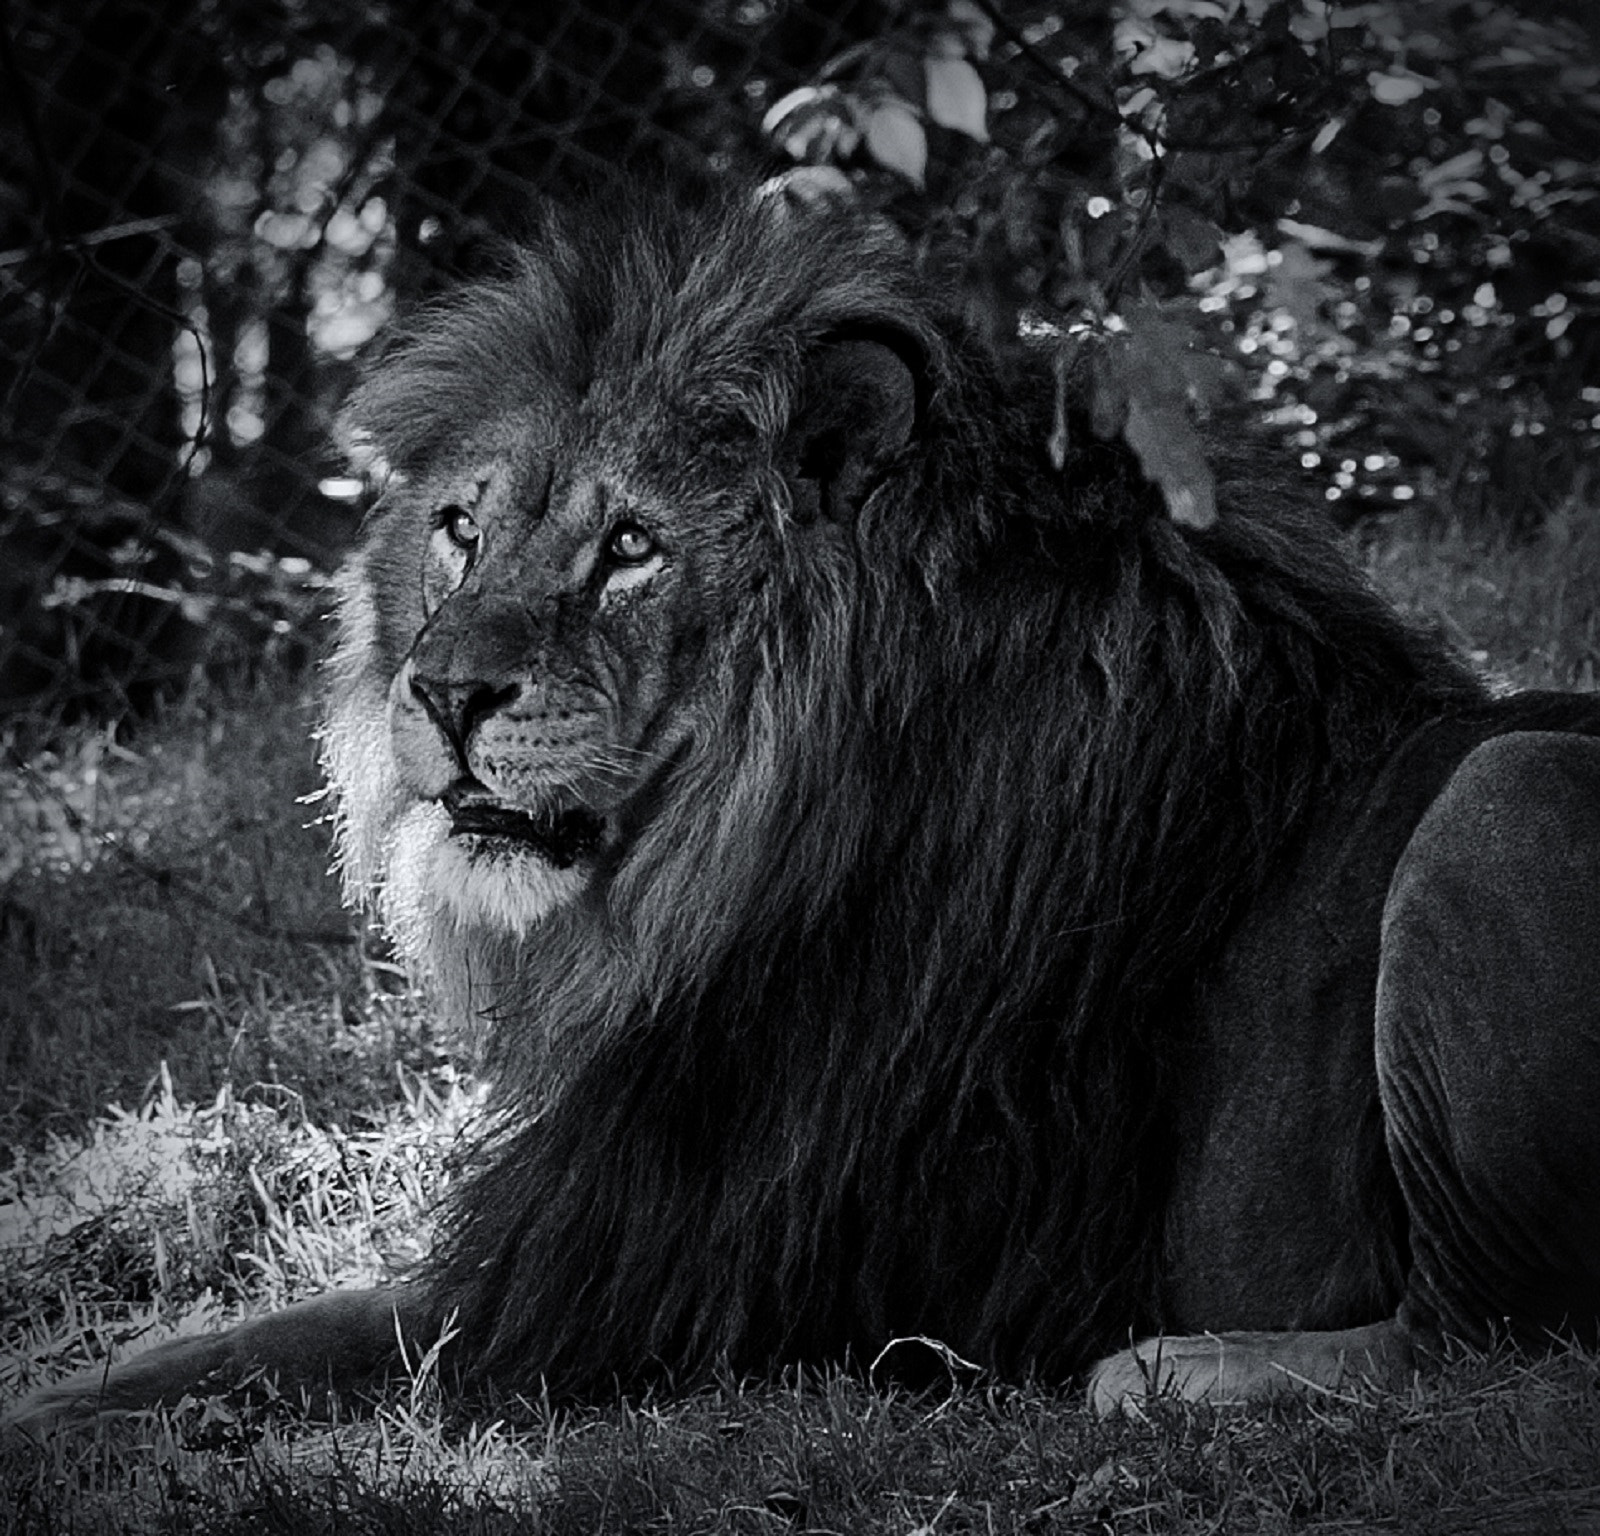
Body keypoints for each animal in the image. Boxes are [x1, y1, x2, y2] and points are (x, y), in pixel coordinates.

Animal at [9, 180, 1600, 1434]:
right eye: (461, 529)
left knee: (1486, 1341)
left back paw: (1171, 1374)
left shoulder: (622, 1274)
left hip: (1503, 797)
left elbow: (238, 1356)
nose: (444, 692)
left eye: (631, 547)